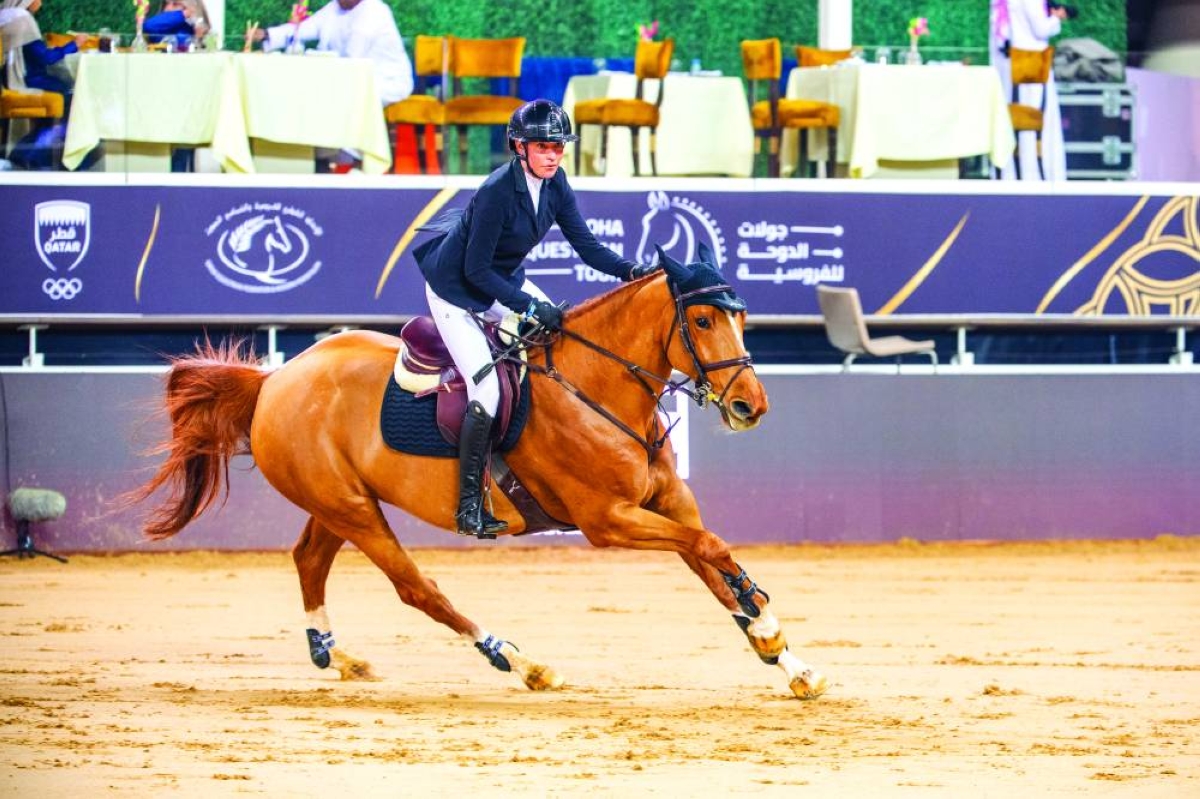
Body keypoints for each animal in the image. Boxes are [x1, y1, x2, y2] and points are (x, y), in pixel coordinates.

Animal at [134, 245, 828, 700]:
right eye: (703, 320)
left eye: (741, 317)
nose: (750, 406)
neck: (598, 391)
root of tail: (274, 379)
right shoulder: (609, 521)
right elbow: (715, 551)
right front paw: (767, 629)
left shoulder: (668, 506)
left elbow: (714, 562)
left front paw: (786, 659)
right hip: (355, 511)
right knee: (418, 590)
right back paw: (520, 662)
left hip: (339, 503)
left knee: (309, 560)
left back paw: (339, 656)